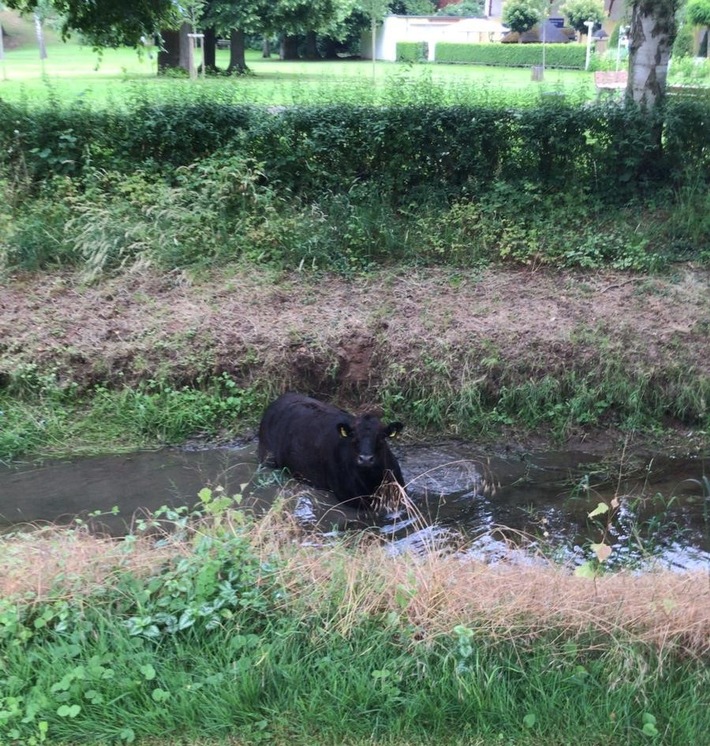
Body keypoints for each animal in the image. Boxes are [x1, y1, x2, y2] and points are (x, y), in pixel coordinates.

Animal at [260, 390, 406, 506]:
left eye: (381, 437)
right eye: (353, 436)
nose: (365, 459)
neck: (372, 480)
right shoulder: (352, 499)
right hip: (268, 458)